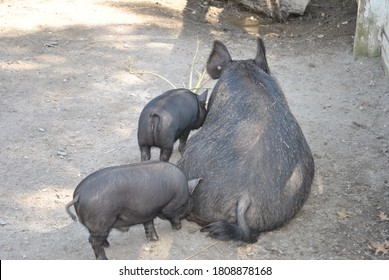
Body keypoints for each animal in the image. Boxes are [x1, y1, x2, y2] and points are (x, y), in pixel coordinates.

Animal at [65, 161, 200, 260]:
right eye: (189, 203)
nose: (189, 215)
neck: (185, 194)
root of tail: (78, 195)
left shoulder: (147, 212)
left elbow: (149, 224)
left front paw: (155, 239)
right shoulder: (172, 207)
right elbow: (173, 217)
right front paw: (178, 228)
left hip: (97, 226)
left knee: (94, 238)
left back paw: (107, 245)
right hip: (101, 223)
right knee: (93, 241)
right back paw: (104, 258)